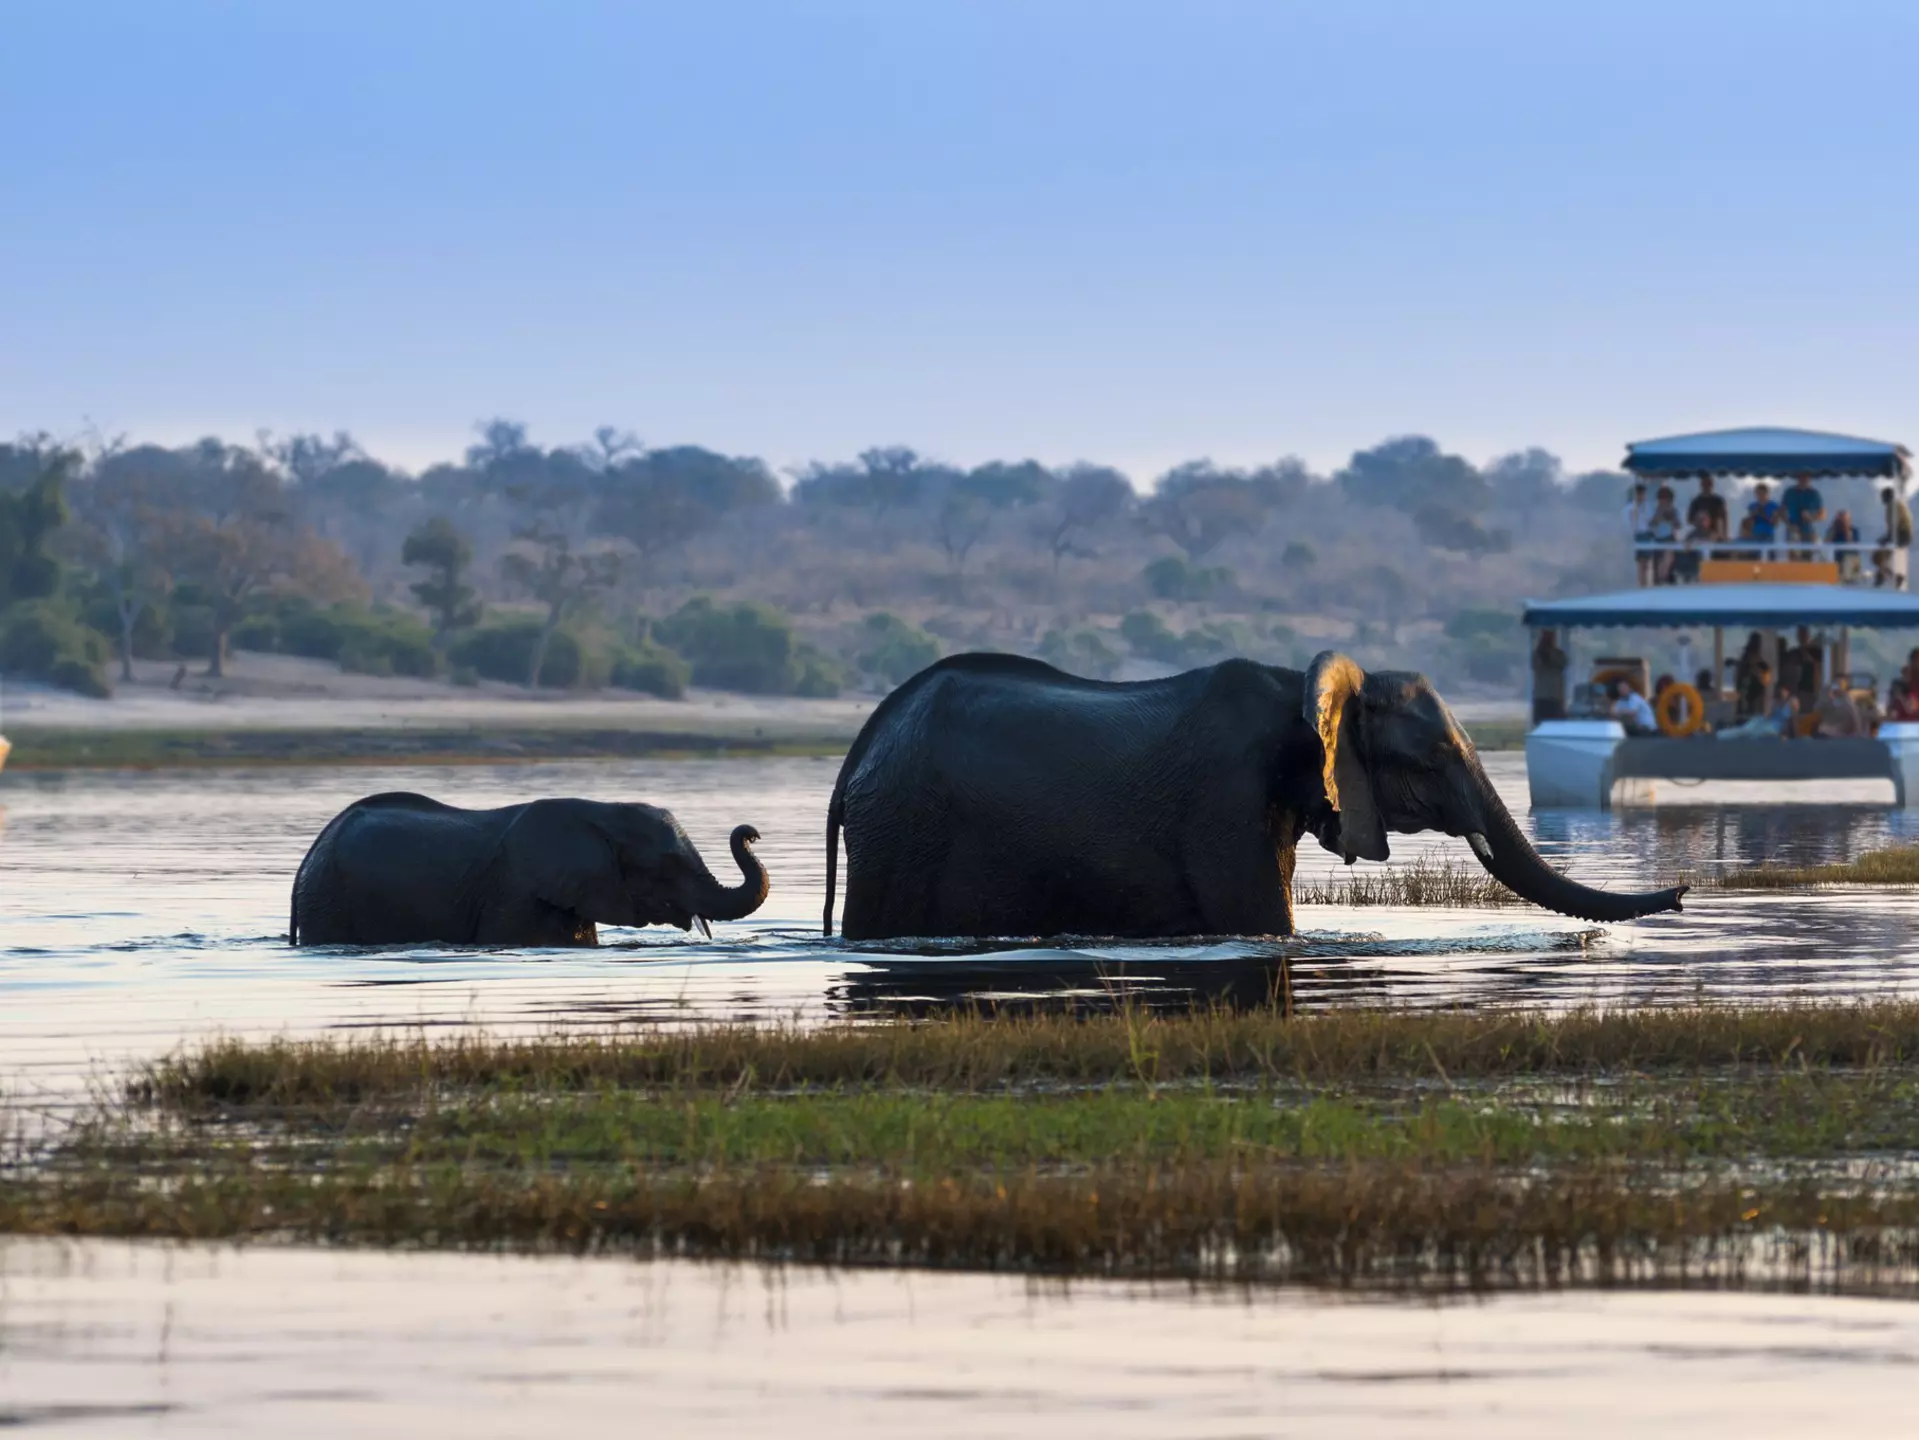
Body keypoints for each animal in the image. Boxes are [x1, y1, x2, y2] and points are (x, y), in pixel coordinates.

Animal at [822, 652, 1685, 940]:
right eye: (1437, 754)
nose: (1681, 890)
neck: (1303, 689)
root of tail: (862, 746)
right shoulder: (1221, 799)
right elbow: (1265, 924)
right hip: (903, 828)